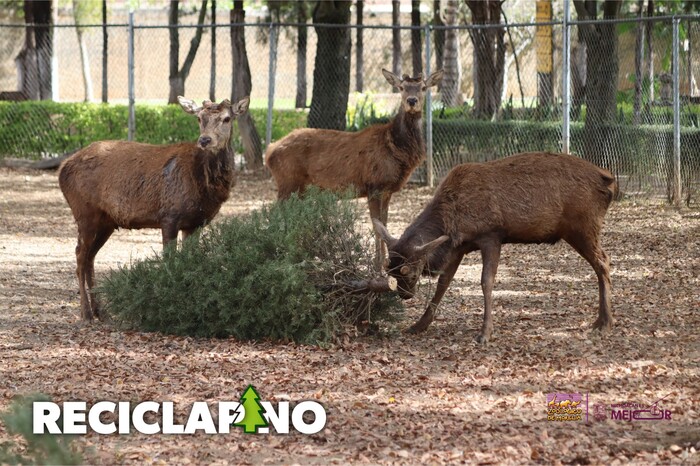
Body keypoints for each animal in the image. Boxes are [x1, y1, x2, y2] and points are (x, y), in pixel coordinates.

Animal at [58, 94, 249, 320]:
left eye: (227, 118)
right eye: (199, 118)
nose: (204, 140)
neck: (204, 186)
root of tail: (62, 169)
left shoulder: (195, 223)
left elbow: (190, 261)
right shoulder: (169, 216)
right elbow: (169, 261)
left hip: (106, 221)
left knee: (90, 256)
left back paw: (100, 311)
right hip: (85, 213)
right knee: (80, 255)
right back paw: (86, 313)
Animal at [266, 67, 446, 268]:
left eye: (423, 87)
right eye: (402, 87)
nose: (412, 101)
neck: (395, 148)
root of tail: (269, 151)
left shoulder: (387, 191)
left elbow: (385, 225)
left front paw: (385, 262)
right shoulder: (374, 185)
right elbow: (377, 226)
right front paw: (378, 266)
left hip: (299, 188)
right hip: (287, 182)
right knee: (275, 216)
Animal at [372, 151, 616, 344]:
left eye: (411, 273)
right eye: (392, 270)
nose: (404, 295)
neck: (453, 219)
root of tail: (609, 181)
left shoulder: (491, 235)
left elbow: (486, 281)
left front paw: (485, 333)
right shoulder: (458, 247)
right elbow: (443, 283)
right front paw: (418, 325)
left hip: (583, 227)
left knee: (603, 261)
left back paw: (605, 322)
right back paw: (600, 320)